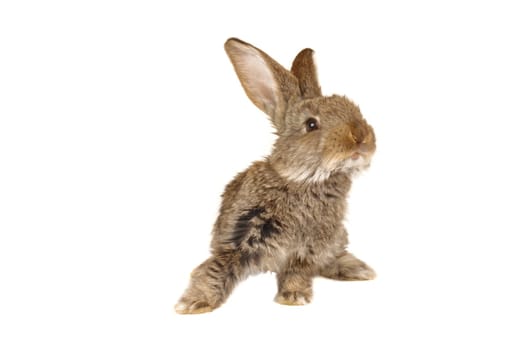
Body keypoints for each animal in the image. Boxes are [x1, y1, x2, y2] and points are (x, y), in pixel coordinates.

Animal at [174, 38, 374, 314]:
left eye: (356, 110)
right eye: (311, 124)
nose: (361, 137)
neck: (304, 180)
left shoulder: (309, 248)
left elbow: (298, 271)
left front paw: (293, 296)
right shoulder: (239, 237)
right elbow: (216, 269)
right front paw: (193, 302)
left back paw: (357, 269)